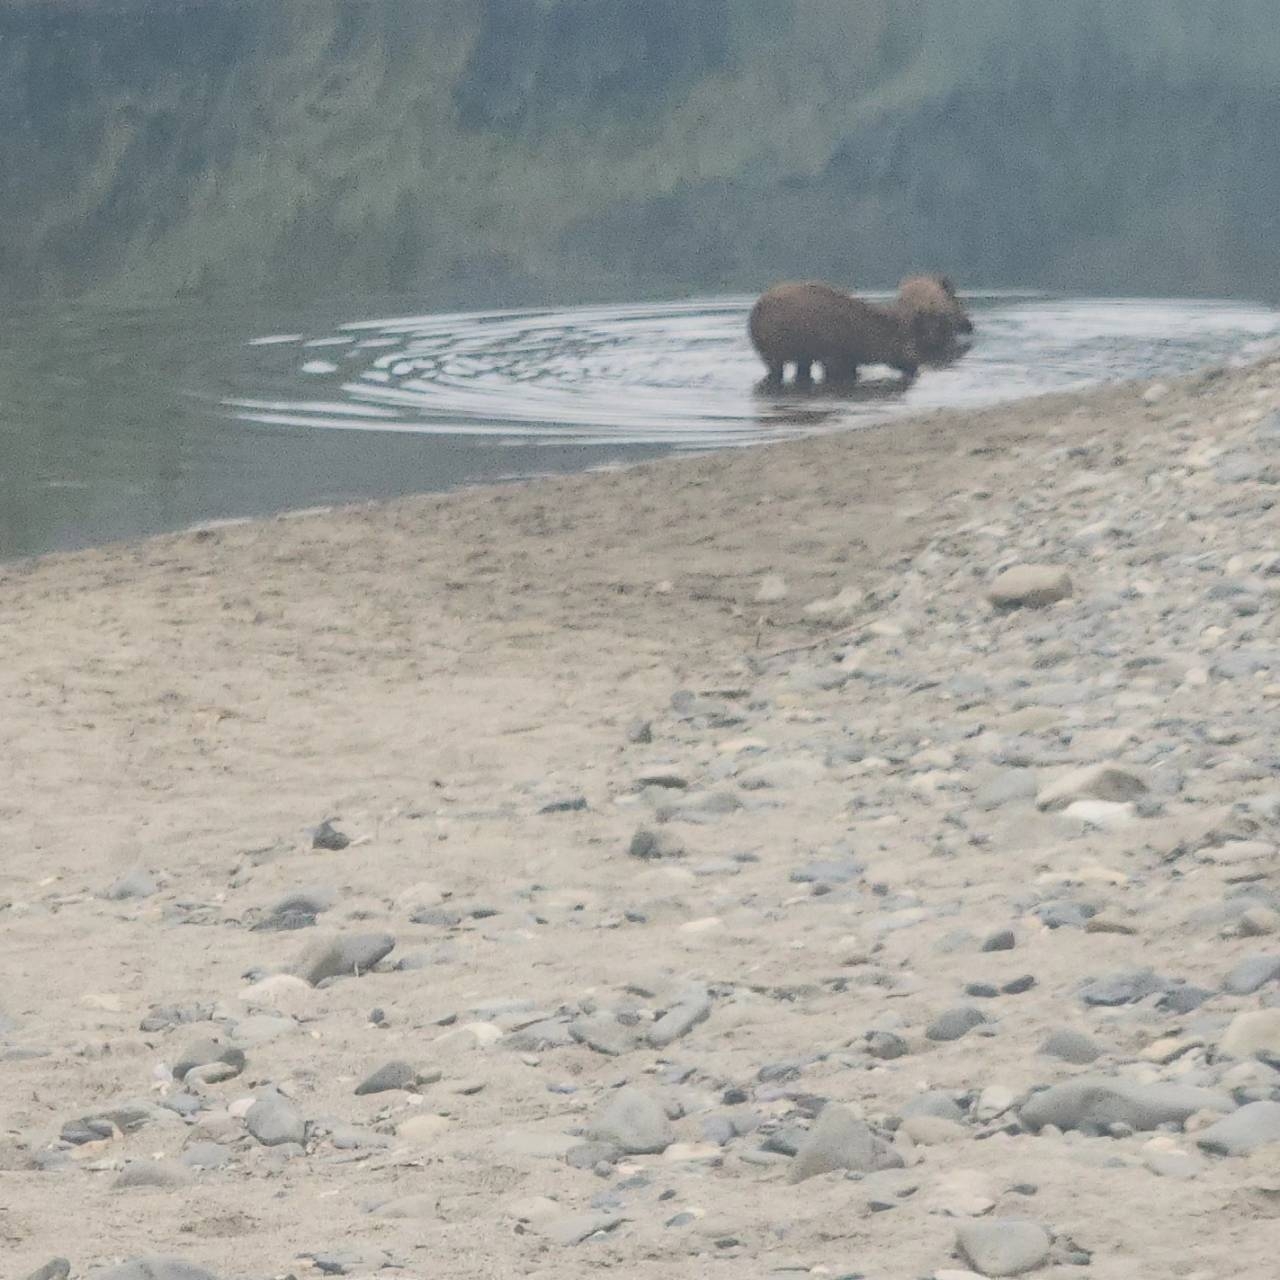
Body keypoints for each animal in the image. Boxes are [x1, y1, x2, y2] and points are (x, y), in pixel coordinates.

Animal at [747, 284, 921, 389]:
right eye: (899, 341)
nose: (915, 366)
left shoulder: (849, 354)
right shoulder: (832, 352)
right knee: (776, 367)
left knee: (801, 368)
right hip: (771, 342)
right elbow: (833, 370)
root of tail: (756, 308)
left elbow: (852, 372)